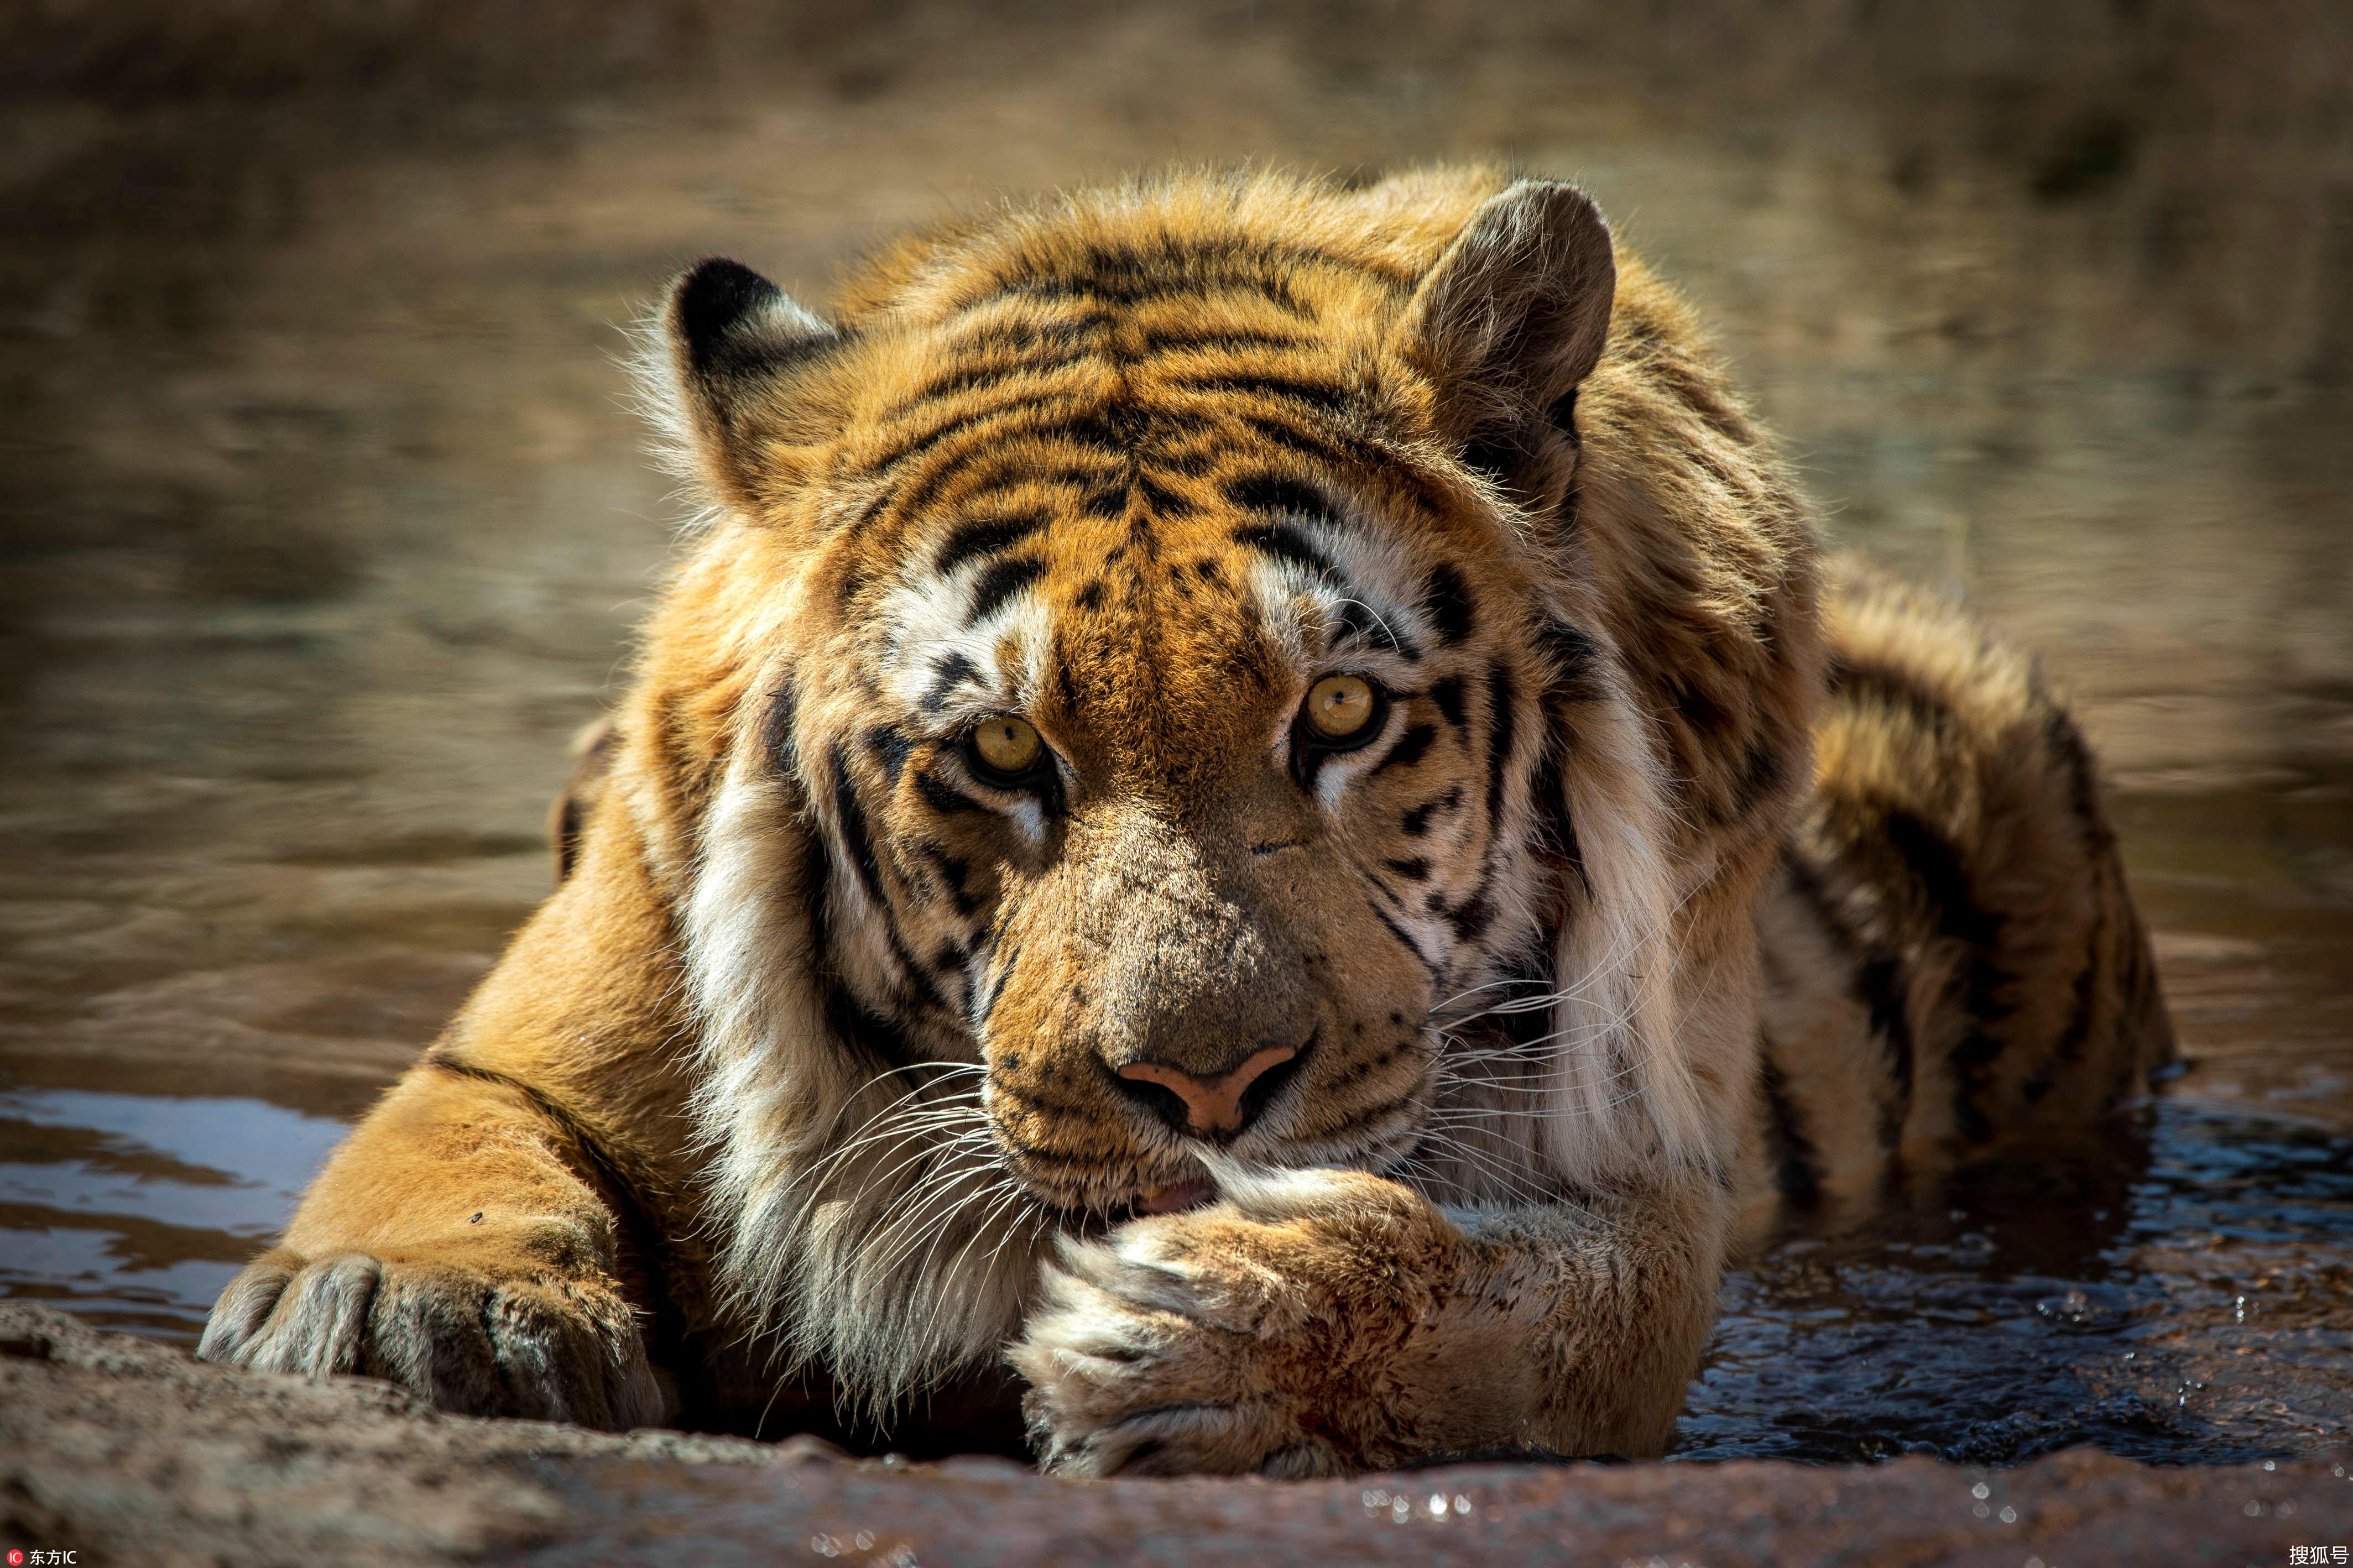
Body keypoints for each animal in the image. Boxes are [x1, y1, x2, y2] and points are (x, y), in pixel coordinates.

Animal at [197, 165, 2164, 1476]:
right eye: (1000, 752)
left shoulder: (1641, 1179)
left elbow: (1568, 1310)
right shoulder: (564, 1007)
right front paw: (406, 1309)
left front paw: (1208, 1337)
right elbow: (456, 1129)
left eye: (1342, 715)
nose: (1204, 1093)